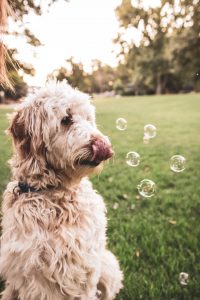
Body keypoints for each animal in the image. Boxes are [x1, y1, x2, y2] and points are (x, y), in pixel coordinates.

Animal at [0, 81, 122, 300]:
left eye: (89, 119)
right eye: (66, 119)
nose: (106, 148)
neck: (56, 194)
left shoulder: (86, 269)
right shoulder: (24, 269)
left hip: (108, 267)